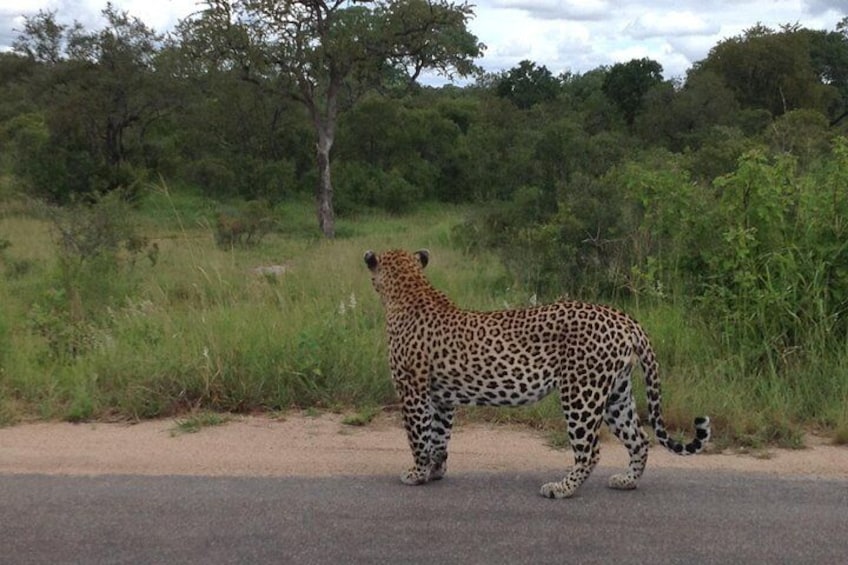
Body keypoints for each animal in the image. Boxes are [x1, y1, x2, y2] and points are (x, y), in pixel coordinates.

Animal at [362, 247, 708, 498]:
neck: (408, 288)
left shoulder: (412, 390)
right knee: (639, 439)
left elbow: (418, 436)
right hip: (615, 393)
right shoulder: (443, 398)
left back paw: (561, 489)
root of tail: (625, 319)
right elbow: (439, 436)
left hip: (581, 393)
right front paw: (435, 472)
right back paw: (627, 481)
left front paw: (417, 474)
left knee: (590, 450)